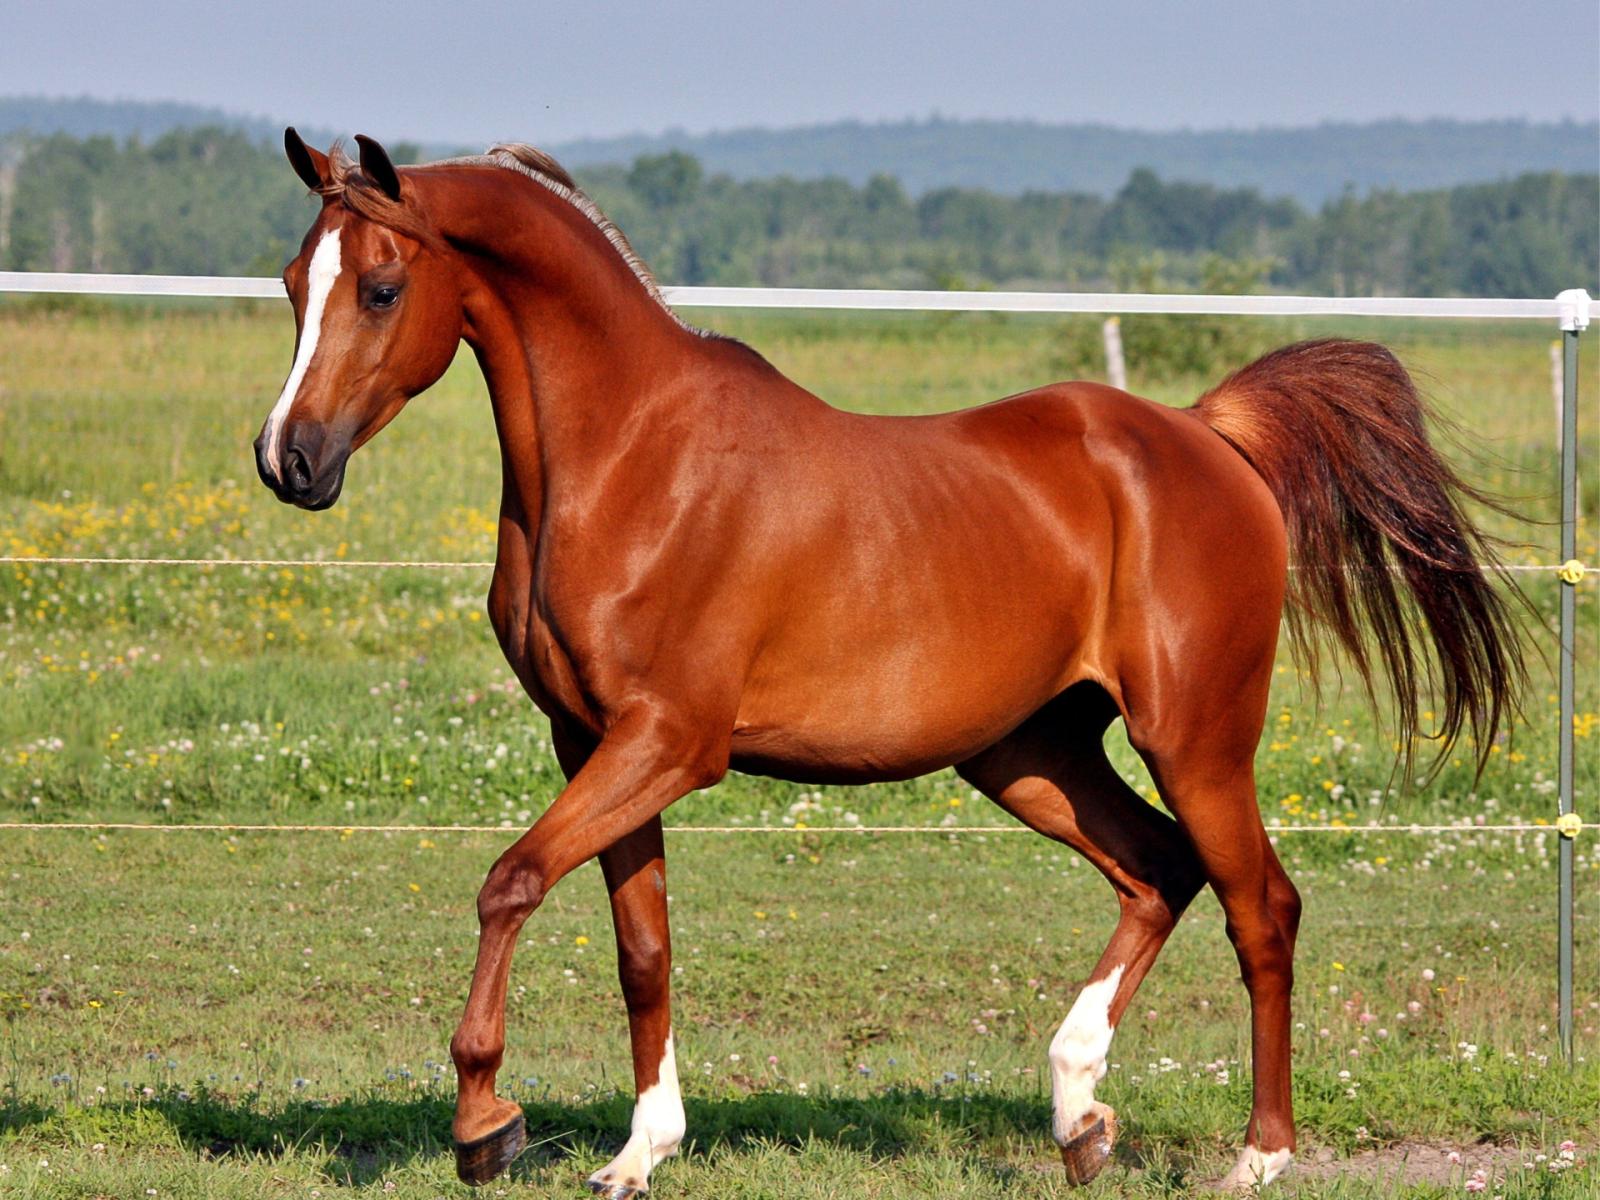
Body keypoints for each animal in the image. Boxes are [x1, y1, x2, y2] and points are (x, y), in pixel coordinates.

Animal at [253, 129, 1521, 1195]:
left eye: (381, 287)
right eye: (291, 284)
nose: (288, 461)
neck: (630, 459)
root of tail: (1207, 436)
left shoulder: (669, 742)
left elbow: (509, 881)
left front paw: (485, 1124)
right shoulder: (595, 743)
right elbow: (642, 950)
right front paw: (638, 1154)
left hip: (1195, 738)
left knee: (1261, 906)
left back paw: (1259, 1155)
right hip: (1029, 753)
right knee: (1157, 869)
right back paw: (1078, 1116)